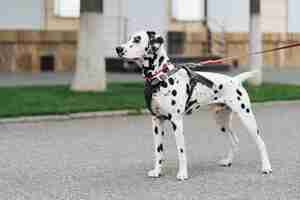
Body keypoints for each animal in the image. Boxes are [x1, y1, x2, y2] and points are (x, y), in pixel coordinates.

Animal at [115, 30, 272, 180]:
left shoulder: (176, 122)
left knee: (262, 143)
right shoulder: (157, 122)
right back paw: (228, 161)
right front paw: (157, 172)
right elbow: (159, 151)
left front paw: (183, 174)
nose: (118, 48)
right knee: (234, 140)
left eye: (137, 39)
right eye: (129, 38)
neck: (161, 77)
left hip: (247, 118)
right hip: (221, 122)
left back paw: (266, 167)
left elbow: (181, 150)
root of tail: (235, 80)